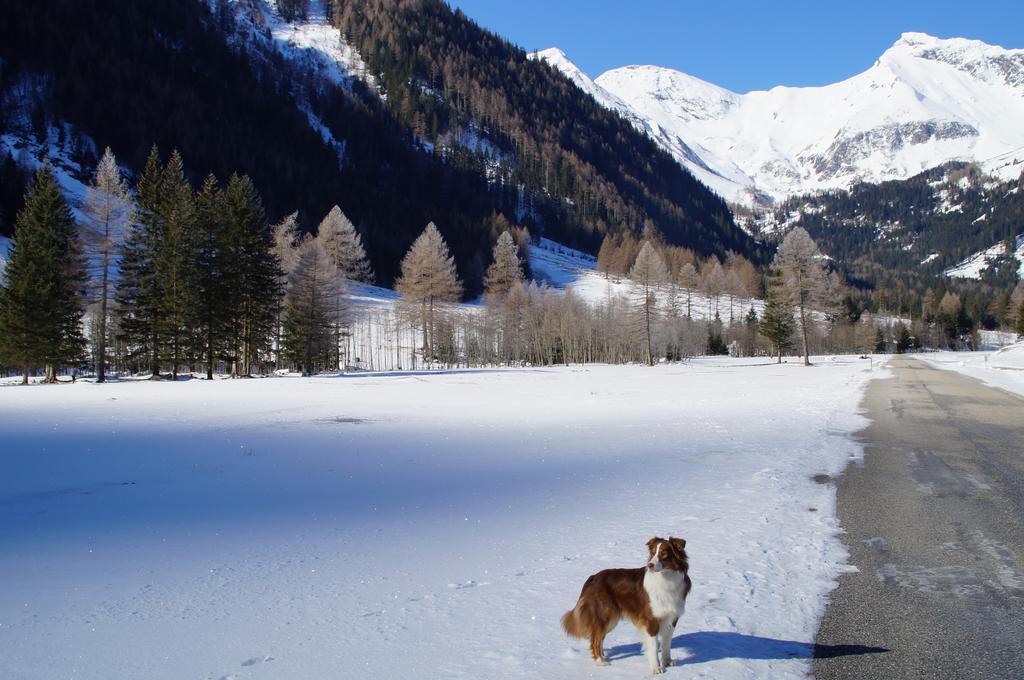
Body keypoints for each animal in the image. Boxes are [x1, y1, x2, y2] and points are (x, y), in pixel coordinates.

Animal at [565, 536, 692, 675]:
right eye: (653, 553)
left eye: (664, 553)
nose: (649, 565)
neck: (666, 577)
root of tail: (593, 577)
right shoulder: (651, 620)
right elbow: (654, 646)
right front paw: (656, 668)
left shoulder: (672, 618)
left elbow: (667, 643)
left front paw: (667, 662)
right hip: (605, 615)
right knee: (595, 638)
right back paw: (600, 661)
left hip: (611, 619)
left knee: (600, 637)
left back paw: (603, 656)